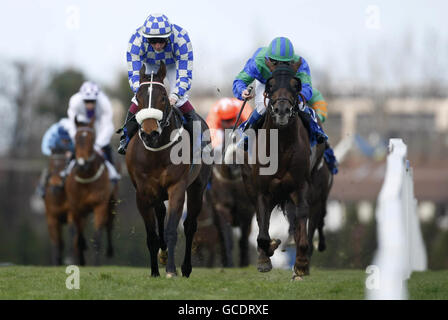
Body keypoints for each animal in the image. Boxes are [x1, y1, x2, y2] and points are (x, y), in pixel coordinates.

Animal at [65, 117, 117, 264]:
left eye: (92, 138)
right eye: (76, 138)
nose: (82, 164)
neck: (86, 177)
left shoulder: (100, 205)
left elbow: (97, 235)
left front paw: (96, 262)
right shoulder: (76, 207)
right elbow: (78, 233)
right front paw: (81, 255)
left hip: (112, 202)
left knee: (109, 225)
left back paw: (109, 251)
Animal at [125, 62, 211, 278]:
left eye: (163, 97)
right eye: (138, 98)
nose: (149, 133)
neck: (156, 153)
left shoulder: (177, 187)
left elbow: (173, 229)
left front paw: (172, 270)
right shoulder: (143, 193)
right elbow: (152, 234)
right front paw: (154, 271)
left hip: (197, 187)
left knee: (190, 226)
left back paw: (186, 268)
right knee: (161, 213)